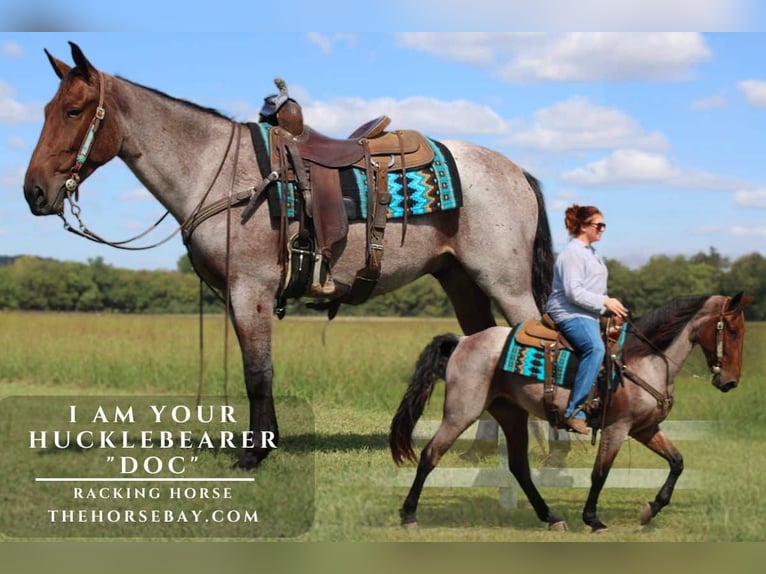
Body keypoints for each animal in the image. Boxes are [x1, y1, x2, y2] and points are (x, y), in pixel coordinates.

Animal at [23, 42, 553, 470]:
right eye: (48, 109)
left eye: (74, 111)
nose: (33, 192)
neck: (220, 172)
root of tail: (517, 171)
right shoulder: (238, 295)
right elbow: (254, 367)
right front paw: (265, 443)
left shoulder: (250, 289)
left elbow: (258, 372)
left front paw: (254, 453)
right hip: (462, 280)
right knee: (485, 346)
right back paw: (480, 448)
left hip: (504, 282)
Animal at [390, 292, 750, 532]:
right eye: (732, 330)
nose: (730, 381)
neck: (644, 361)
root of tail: (464, 340)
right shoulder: (617, 428)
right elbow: (600, 473)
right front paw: (593, 519)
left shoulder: (644, 429)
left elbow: (677, 462)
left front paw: (650, 510)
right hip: (461, 412)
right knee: (430, 455)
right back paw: (408, 516)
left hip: (511, 415)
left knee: (519, 467)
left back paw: (552, 518)